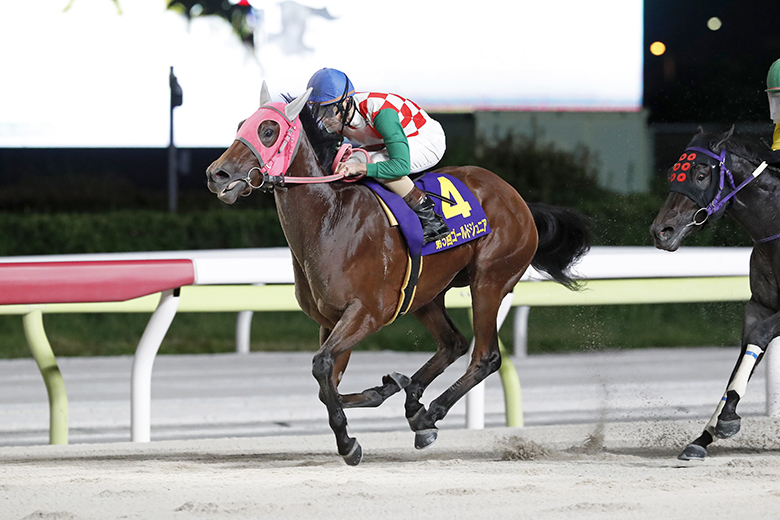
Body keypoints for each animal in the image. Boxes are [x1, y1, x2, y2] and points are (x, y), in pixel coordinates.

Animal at [206, 83, 591, 465]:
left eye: (268, 131)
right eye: (241, 125)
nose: (216, 174)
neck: (329, 219)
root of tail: (520, 202)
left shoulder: (367, 313)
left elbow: (322, 367)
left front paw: (348, 443)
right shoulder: (331, 321)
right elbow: (327, 384)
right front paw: (385, 389)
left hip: (490, 281)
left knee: (485, 356)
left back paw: (429, 413)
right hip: (425, 294)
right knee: (453, 343)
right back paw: (415, 403)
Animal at [650, 126, 780, 461]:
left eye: (700, 175)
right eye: (673, 172)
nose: (661, 231)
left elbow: (759, 337)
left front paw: (727, 419)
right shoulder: (758, 306)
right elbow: (744, 355)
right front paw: (704, 435)